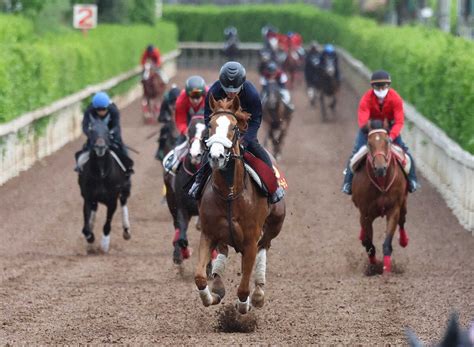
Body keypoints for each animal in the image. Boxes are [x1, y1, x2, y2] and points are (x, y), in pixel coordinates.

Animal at [78, 116, 131, 253]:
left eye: (107, 132)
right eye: (92, 131)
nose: (100, 147)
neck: (101, 174)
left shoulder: (112, 201)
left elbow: (107, 224)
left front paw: (104, 245)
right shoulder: (88, 198)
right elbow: (85, 227)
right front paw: (90, 239)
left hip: (125, 189)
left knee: (124, 202)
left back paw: (126, 230)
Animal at [163, 115, 206, 266]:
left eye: (206, 133)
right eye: (189, 132)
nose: (195, 155)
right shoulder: (182, 208)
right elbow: (182, 236)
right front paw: (183, 253)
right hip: (171, 201)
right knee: (177, 227)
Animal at [193, 95, 286, 316]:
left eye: (234, 127)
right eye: (210, 125)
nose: (216, 156)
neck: (229, 193)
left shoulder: (251, 240)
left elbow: (243, 287)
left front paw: (244, 305)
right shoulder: (208, 233)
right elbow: (200, 276)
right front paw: (211, 296)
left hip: (275, 224)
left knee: (264, 247)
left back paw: (259, 292)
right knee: (224, 251)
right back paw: (218, 285)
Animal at [350, 121, 410, 276]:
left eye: (387, 141)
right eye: (369, 143)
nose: (380, 168)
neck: (381, 183)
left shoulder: (393, 209)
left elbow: (387, 244)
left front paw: (386, 271)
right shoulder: (365, 214)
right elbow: (368, 245)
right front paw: (373, 267)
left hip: (404, 203)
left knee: (402, 220)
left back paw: (404, 240)